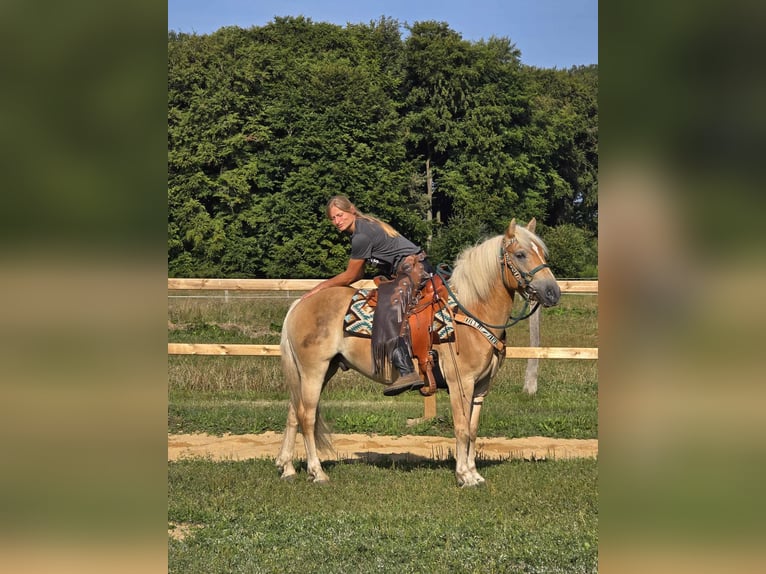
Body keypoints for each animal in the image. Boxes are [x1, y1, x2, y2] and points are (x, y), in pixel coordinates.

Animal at [272, 218, 560, 488]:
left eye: (543, 254)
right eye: (520, 254)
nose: (552, 292)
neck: (470, 312)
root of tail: (300, 303)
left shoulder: (481, 386)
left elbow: (473, 429)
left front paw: (475, 474)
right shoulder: (461, 383)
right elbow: (461, 428)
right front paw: (464, 476)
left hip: (319, 371)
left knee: (293, 413)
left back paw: (287, 468)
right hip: (314, 370)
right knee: (307, 417)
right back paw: (317, 472)